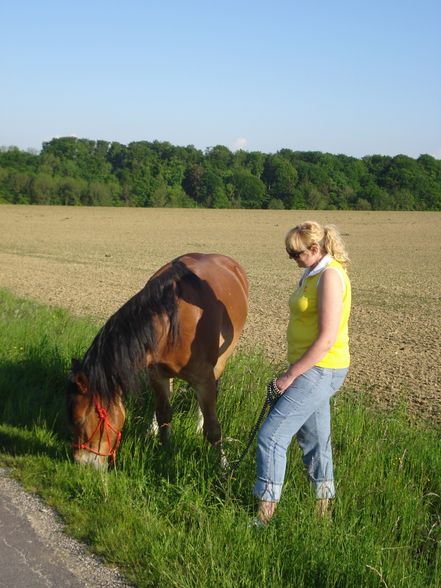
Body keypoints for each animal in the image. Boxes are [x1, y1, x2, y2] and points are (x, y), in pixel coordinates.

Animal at [65, 253, 248, 468]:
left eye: (79, 420)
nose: (81, 463)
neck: (172, 321)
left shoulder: (204, 379)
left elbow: (213, 429)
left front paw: (223, 465)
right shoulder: (157, 374)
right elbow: (163, 414)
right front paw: (165, 448)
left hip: (220, 363)